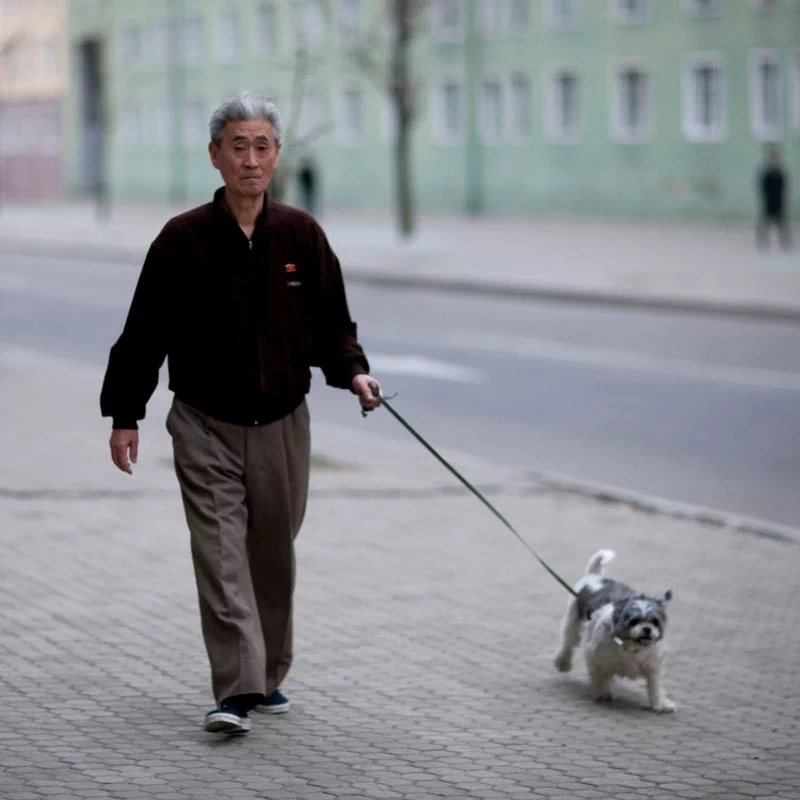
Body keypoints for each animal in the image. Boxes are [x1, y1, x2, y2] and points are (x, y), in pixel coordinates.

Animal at [556, 552, 676, 712]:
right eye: (634, 621)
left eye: (654, 621)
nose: (647, 629)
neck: (630, 646)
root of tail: (595, 576)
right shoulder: (596, 656)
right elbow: (599, 676)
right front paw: (602, 692)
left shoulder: (652, 664)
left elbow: (655, 685)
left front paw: (660, 703)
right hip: (572, 624)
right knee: (567, 644)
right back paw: (563, 662)